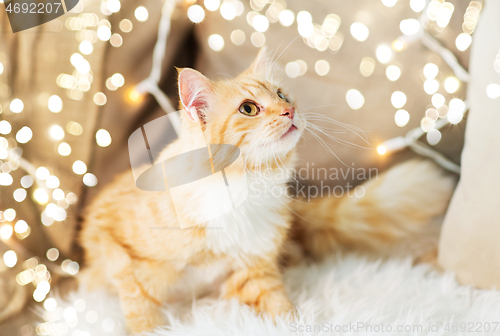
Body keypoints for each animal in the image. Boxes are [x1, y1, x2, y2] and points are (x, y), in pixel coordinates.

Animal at [79, 48, 458, 334]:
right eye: (249, 108)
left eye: (281, 95)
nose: (290, 110)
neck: (243, 187)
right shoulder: (128, 261)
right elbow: (143, 315)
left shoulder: (252, 270)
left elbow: (280, 307)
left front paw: (297, 325)